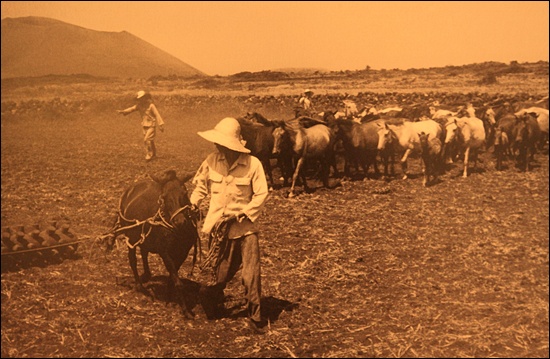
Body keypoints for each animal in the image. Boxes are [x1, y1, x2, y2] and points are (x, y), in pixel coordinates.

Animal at [99, 169, 201, 318]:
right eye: (163, 197)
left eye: (185, 193)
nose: (180, 221)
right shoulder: (165, 253)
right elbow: (177, 281)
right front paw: (185, 310)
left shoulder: (182, 253)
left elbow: (173, 277)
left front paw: (170, 297)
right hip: (131, 236)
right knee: (133, 260)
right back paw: (139, 285)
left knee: (144, 252)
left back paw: (147, 275)